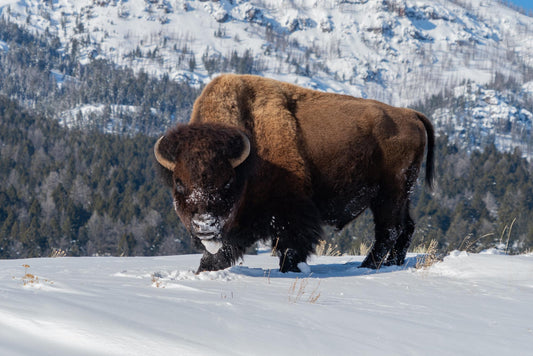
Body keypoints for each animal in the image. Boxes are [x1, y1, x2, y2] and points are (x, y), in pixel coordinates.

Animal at [153, 74, 432, 272]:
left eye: (227, 181)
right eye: (179, 182)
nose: (204, 225)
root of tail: (411, 114)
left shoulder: (290, 211)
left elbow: (291, 245)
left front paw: (291, 269)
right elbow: (220, 252)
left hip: (389, 194)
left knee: (389, 229)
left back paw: (367, 267)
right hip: (401, 195)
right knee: (406, 227)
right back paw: (391, 263)